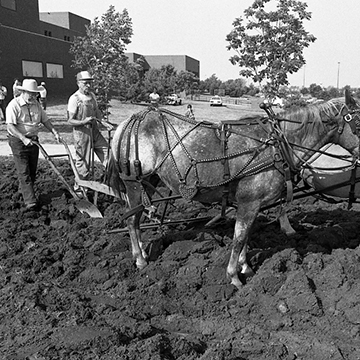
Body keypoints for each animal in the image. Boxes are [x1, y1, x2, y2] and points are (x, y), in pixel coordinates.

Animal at [107, 91, 360, 288]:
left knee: (136, 217)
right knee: (132, 220)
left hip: (149, 182)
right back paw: (140, 259)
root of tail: (129, 122)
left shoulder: (253, 204)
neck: (278, 145)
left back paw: (141, 250)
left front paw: (245, 267)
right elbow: (239, 237)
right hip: (133, 183)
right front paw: (234, 276)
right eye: (358, 122)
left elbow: (246, 235)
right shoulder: (249, 202)